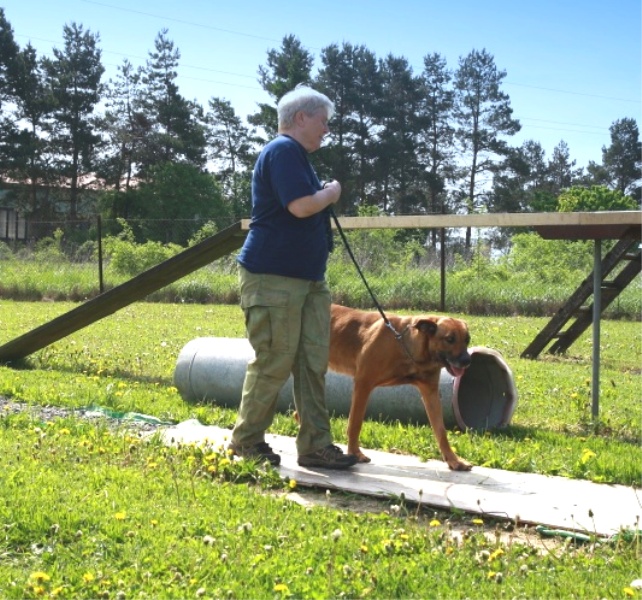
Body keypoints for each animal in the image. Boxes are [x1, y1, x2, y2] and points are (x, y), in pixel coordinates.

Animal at [330, 302, 470, 472]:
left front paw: (453, 460)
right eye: (450, 339)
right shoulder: (363, 384)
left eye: (467, 340)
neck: (403, 344)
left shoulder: (431, 393)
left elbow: (440, 430)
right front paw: (355, 453)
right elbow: (355, 423)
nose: (467, 361)